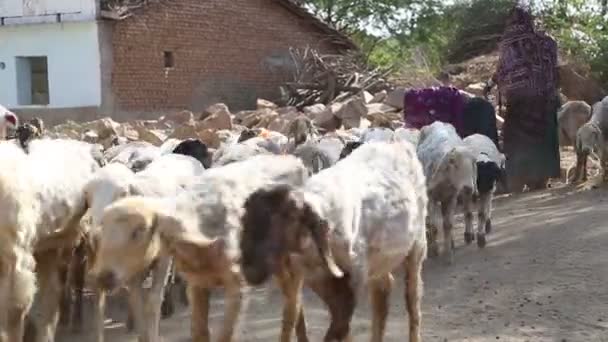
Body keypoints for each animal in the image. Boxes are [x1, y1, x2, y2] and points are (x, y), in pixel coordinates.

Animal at [0, 138, 100, 342]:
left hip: (81, 239)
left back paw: (74, 322)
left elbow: (14, 312)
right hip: (48, 246)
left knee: (74, 281)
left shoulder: (16, 256)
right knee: (52, 291)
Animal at [90, 154, 308, 342]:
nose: (103, 277)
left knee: (293, 303)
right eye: (102, 229)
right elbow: (200, 332)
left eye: (139, 231)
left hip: (291, 257)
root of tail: (293, 159)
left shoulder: (237, 285)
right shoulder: (196, 284)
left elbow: (226, 336)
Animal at [239, 140, 428, 342]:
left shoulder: (353, 279)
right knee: (384, 289)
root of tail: (394, 142)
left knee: (413, 300)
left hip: (417, 247)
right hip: (377, 261)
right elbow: (294, 322)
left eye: (288, 216)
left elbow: (336, 330)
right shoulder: (307, 280)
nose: (250, 270)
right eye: (246, 219)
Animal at [416, 121, 478, 264]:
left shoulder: (451, 197)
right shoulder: (430, 197)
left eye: (473, 163)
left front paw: (448, 254)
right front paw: (433, 250)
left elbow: (448, 224)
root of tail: (438, 123)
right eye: (454, 164)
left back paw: (464, 236)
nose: (468, 188)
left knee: (467, 213)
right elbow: (433, 225)